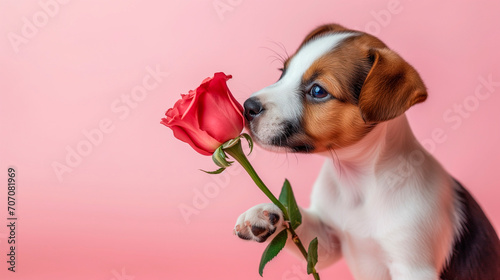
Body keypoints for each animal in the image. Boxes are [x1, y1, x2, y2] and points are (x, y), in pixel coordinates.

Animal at [235, 24, 500, 280]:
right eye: (283, 72)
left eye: (318, 91)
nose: (247, 107)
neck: (357, 183)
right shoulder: (328, 241)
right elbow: (301, 223)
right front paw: (264, 215)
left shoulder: (413, 267)